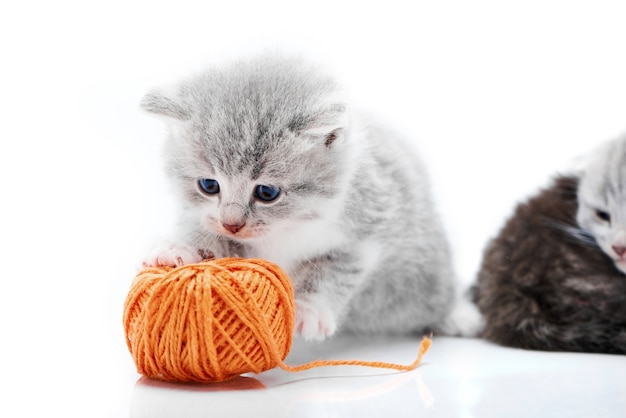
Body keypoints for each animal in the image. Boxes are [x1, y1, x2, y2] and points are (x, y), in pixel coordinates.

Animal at [138, 53, 468, 340]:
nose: (232, 224)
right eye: (208, 185)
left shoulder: (368, 229)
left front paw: (310, 311)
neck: (289, 227)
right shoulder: (213, 220)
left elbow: (333, 272)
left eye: (267, 192)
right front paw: (177, 247)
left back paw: (456, 316)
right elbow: (204, 231)